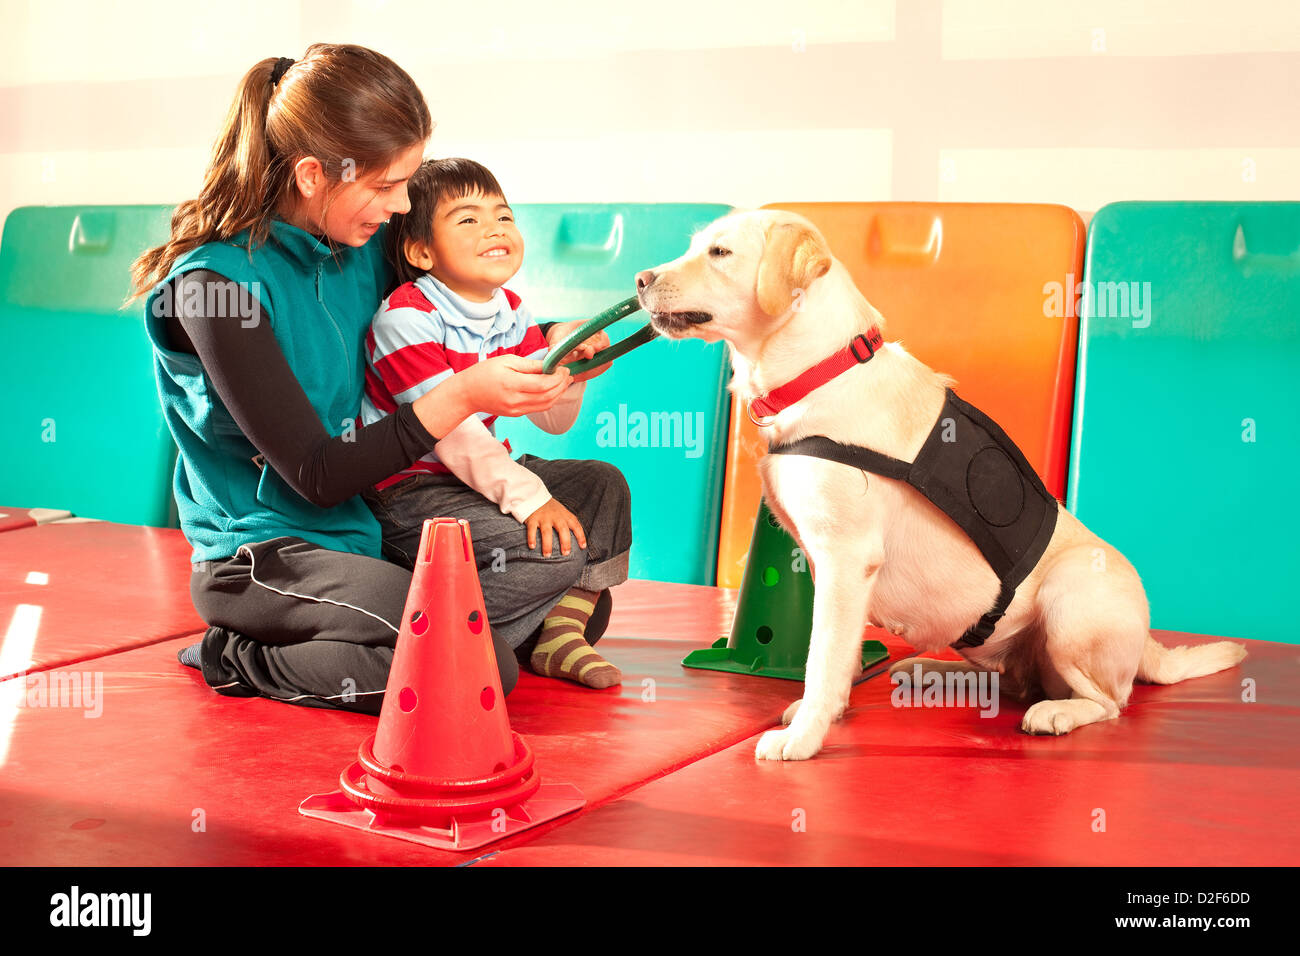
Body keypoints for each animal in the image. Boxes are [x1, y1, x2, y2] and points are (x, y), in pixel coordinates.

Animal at [639, 209, 1248, 764]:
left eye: (720, 253)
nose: (641, 279)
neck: (821, 370)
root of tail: (1149, 644)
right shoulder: (823, 565)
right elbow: (837, 653)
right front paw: (832, 708)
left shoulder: (845, 558)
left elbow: (822, 655)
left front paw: (805, 735)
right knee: (1012, 680)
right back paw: (930, 671)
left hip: (1070, 600)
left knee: (1108, 703)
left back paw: (1056, 712)